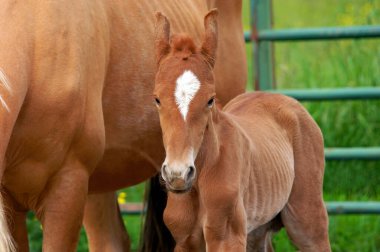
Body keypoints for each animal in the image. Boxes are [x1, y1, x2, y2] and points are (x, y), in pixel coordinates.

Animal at [153, 10, 332, 252]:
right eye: (157, 99)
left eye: (210, 100)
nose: (178, 174)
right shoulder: (184, 241)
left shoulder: (227, 237)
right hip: (257, 230)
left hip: (306, 220)